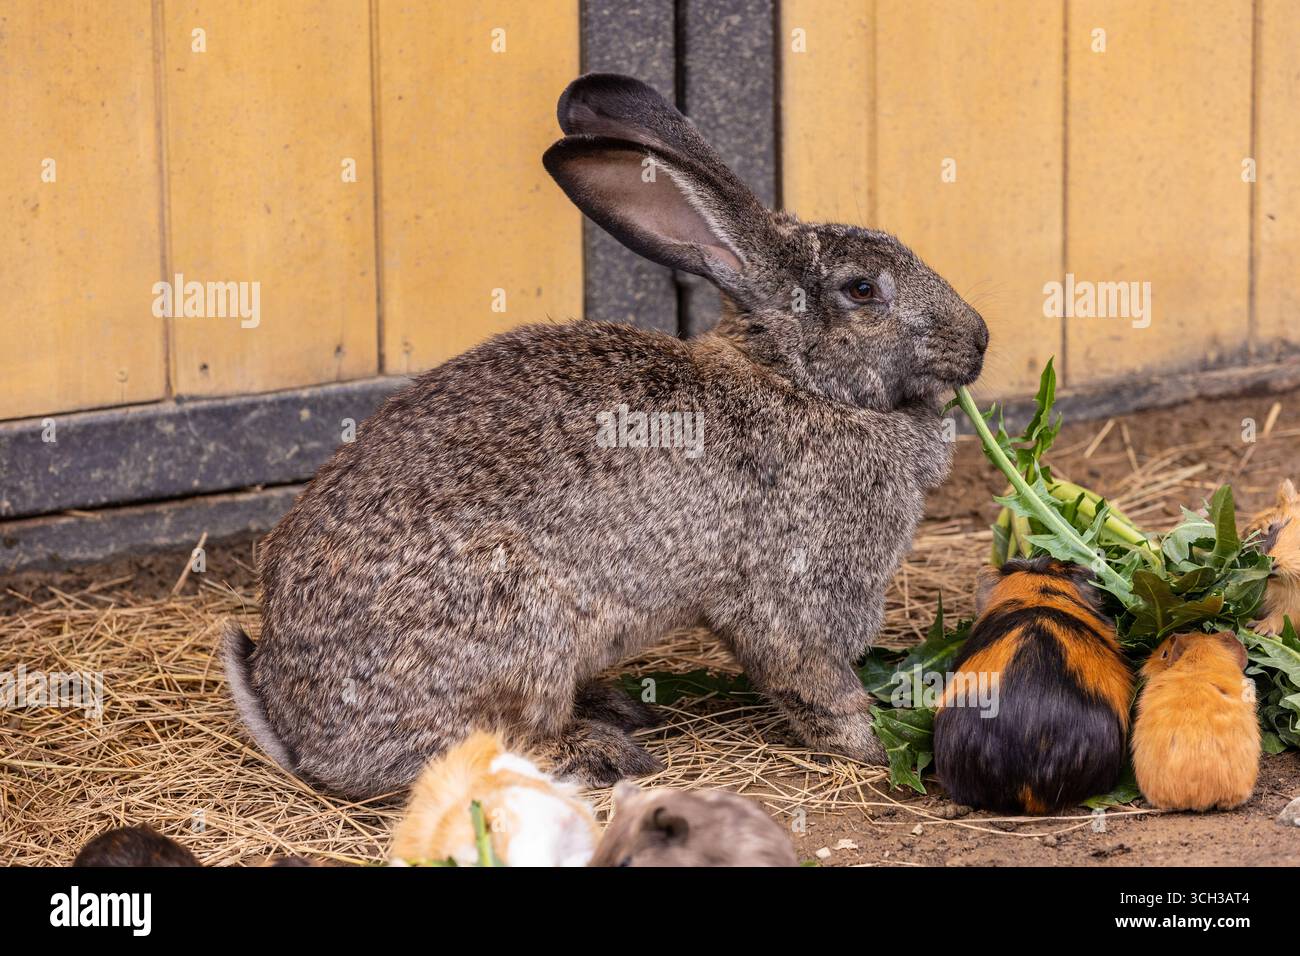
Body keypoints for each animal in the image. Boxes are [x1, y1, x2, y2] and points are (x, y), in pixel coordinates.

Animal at [222, 72, 988, 799]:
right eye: (862, 290)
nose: (979, 339)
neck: (799, 380)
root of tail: (291, 723)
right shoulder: (796, 591)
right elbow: (815, 680)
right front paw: (876, 741)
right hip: (514, 627)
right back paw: (595, 749)